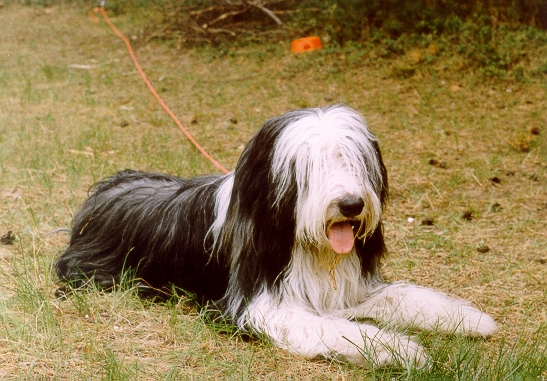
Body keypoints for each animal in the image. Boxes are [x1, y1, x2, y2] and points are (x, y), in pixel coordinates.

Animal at [54, 104, 496, 366]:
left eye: (354, 160)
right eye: (310, 166)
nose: (351, 204)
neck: (300, 244)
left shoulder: (349, 289)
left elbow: (401, 295)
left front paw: (468, 319)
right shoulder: (259, 305)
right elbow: (333, 329)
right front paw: (401, 348)